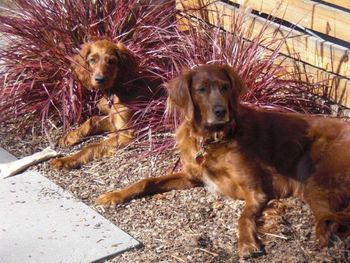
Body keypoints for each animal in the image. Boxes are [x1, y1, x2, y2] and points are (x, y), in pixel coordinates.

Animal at [50, 39, 153, 171]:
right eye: (92, 60)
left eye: (111, 61)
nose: (99, 79)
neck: (114, 93)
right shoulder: (111, 120)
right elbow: (92, 120)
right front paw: (70, 136)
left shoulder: (126, 134)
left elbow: (92, 146)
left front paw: (66, 160)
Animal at [95, 65, 350, 258]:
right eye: (201, 89)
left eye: (225, 87)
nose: (220, 111)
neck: (213, 140)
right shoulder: (191, 176)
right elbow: (147, 181)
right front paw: (115, 195)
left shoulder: (256, 190)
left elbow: (244, 216)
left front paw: (247, 243)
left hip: (317, 183)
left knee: (330, 220)